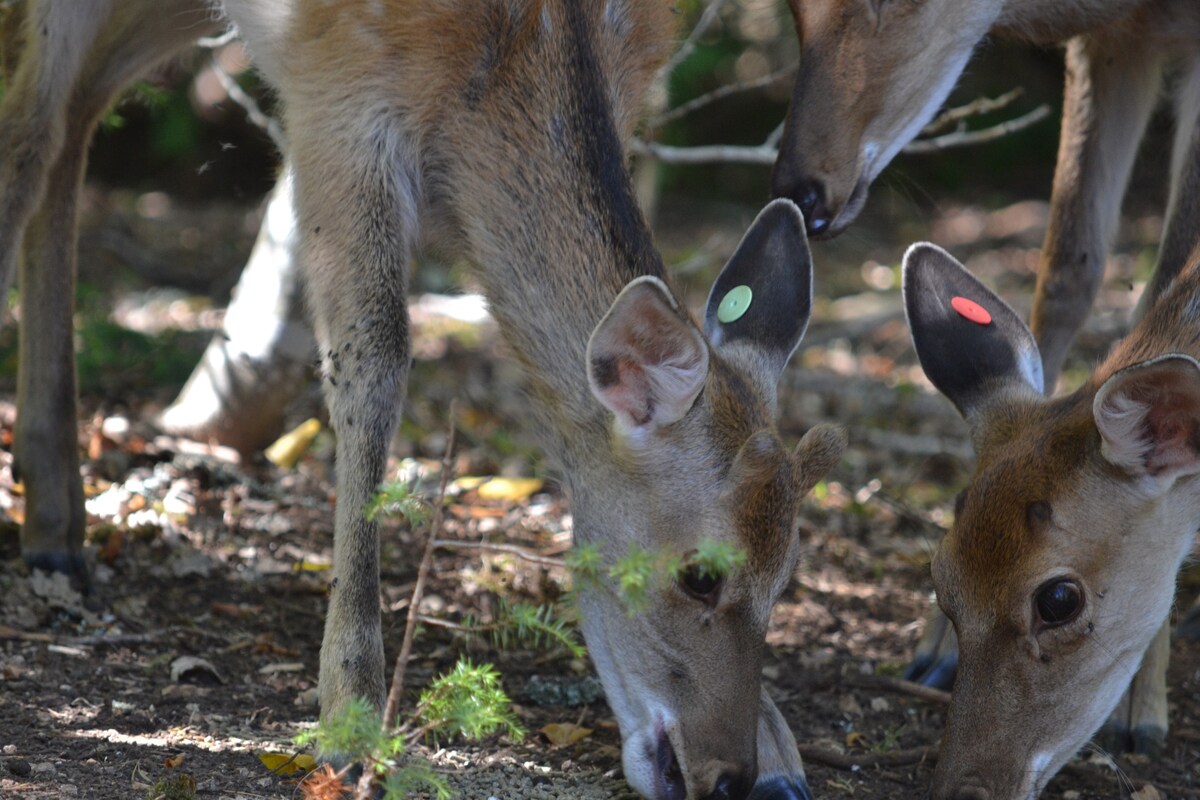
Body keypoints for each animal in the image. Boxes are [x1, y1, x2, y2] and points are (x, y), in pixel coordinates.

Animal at [0, 1, 849, 800]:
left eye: (786, 580)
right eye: (699, 574)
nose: (730, 776)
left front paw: (782, 756)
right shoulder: (337, 94)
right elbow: (374, 357)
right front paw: (350, 719)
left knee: (77, 113)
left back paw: (56, 527)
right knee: (31, 134)